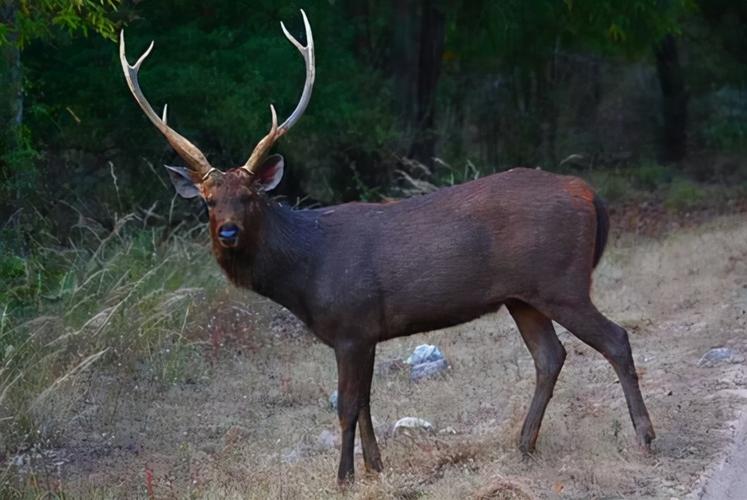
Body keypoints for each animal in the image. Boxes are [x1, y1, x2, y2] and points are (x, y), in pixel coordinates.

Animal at [118, 8, 656, 484]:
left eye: (249, 196)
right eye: (209, 201)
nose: (228, 232)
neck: (304, 274)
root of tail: (588, 194)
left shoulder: (351, 324)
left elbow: (347, 406)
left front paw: (343, 477)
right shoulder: (367, 331)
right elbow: (366, 402)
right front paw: (377, 467)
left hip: (561, 281)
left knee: (615, 339)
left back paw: (644, 437)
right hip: (522, 296)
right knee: (550, 356)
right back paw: (523, 445)